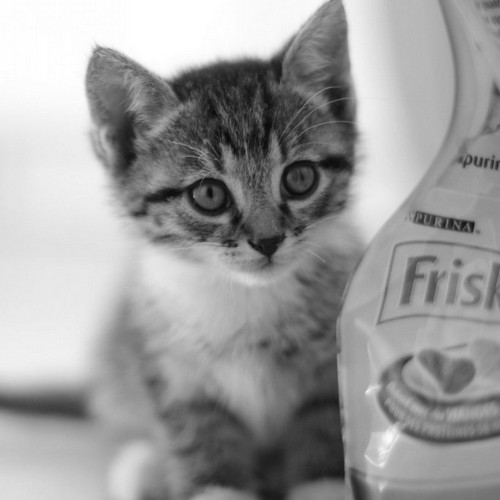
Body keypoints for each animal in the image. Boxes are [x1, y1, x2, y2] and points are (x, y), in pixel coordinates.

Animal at [86, 1, 362, 499]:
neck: (249, 297)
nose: (268, 240)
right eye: (209, 195)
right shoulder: (171, 368)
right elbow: (198, 433)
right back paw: (142, 468)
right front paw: (216, 486)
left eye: (300, 178)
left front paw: (322, 485)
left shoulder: (331, 365)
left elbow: (325, 422)